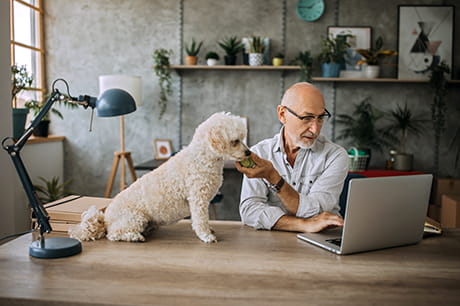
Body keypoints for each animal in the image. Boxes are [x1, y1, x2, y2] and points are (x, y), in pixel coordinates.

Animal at [70, 112, 252, 244]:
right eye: (235, 141)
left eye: (242, 138)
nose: (248, 152)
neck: (203, 157)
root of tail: (105, 218)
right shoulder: (197, 200)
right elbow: (200, 220)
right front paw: (206, 236)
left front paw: (209, 230)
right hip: (135, 217)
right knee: (113, 235)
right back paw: (135, 237)